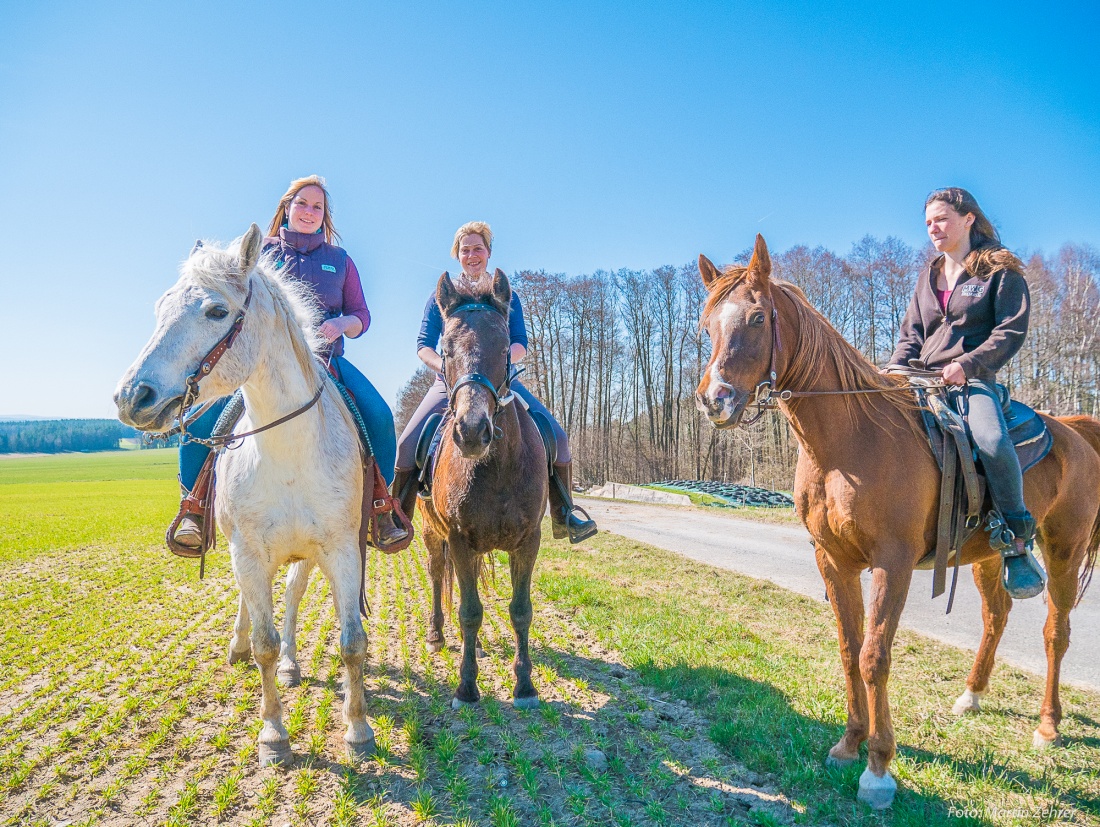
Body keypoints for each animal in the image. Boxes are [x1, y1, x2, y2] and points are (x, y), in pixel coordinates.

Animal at [113, 223, 376, 765]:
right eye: (160, 307)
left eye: (216, 311)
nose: (131, 397)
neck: (288, 451)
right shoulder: (249, 551)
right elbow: (263, 644)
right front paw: (274, 734)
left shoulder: (341, 550)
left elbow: (351, 643)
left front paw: (358, 729)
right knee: (252, 609)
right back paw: (239, 648)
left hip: (305, 554)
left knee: (293, 596)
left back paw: (296, 664)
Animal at [418, 269, 547, 712]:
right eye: (445, 349)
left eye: (504, 345)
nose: (472, 431)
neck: (496, 468)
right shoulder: (457, 538)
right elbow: (470, 611)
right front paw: (466, 687)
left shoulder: (528, 540)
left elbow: (521, 610)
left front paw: (524, 686)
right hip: (432, 534)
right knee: (438, 575)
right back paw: (437, 635)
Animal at [695, 234, 1100, 809]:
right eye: (708, 324)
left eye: (755, 317)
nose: (715, 400)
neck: (851, 441)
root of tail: (1074, 431)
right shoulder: (833, 560)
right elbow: (848, 649)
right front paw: (848, 744)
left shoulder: (894, 563)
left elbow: (875, 656)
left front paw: (878, 768)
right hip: (988, 555)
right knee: (996, 617)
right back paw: (972, 694)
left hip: (1064, 548)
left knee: (1055, 632)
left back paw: (1048, 725)